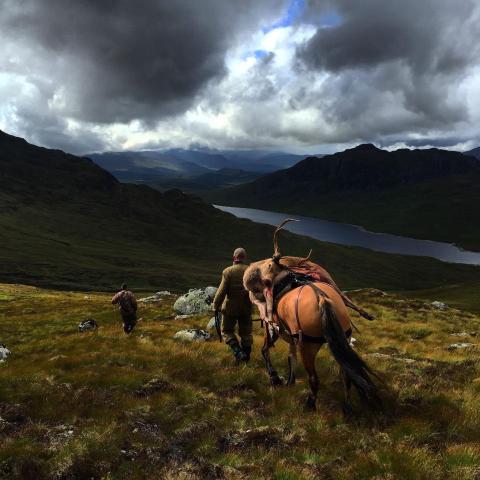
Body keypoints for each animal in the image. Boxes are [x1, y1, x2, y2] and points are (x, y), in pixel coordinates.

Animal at [260, 282, 380, 412]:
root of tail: (320, 296)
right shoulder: (292, 339)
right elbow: (291, 358)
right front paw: (289, 382)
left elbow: (267, 351)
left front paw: (274, 376)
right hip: (344, 338)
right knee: (347, 374)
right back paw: (347, 408)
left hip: (307, 347)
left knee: (313, 378)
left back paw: (310, 405)